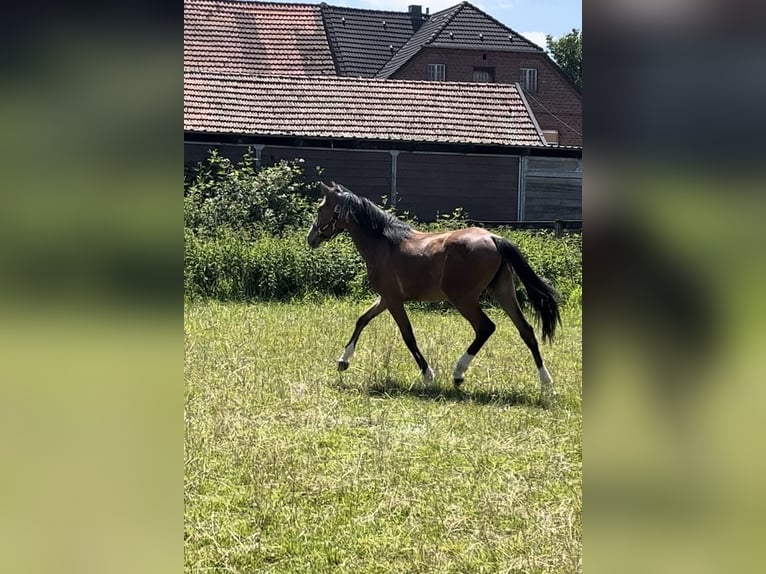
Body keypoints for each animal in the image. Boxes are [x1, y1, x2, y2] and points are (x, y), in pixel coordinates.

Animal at [306, 182, 564, 394]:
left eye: (320, 208)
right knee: (526, 331)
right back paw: (547, 383)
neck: (384, 243)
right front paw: (343, 361)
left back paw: (458, 373)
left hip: (463, 299)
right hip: (502, 292)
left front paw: (428, 375)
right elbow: (362, 320)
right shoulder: (386, 298)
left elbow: (408, 335)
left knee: (485, 327)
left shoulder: (393, 300)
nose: (311, 239)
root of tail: (493, 238)